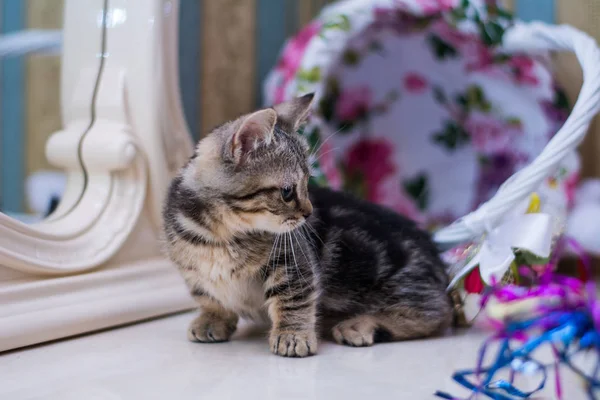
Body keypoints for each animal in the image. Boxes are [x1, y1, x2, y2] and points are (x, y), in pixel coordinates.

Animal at [162, 94, 452, 360]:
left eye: (307, 183)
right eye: (287, 192)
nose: (308, 213)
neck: (222, 235)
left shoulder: (294, 260)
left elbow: (294, 299)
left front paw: (292, 335)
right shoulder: (190, 268)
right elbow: (206, 294)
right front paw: (213, 318)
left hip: (400, 286)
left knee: (433, 313)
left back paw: (360, 324)